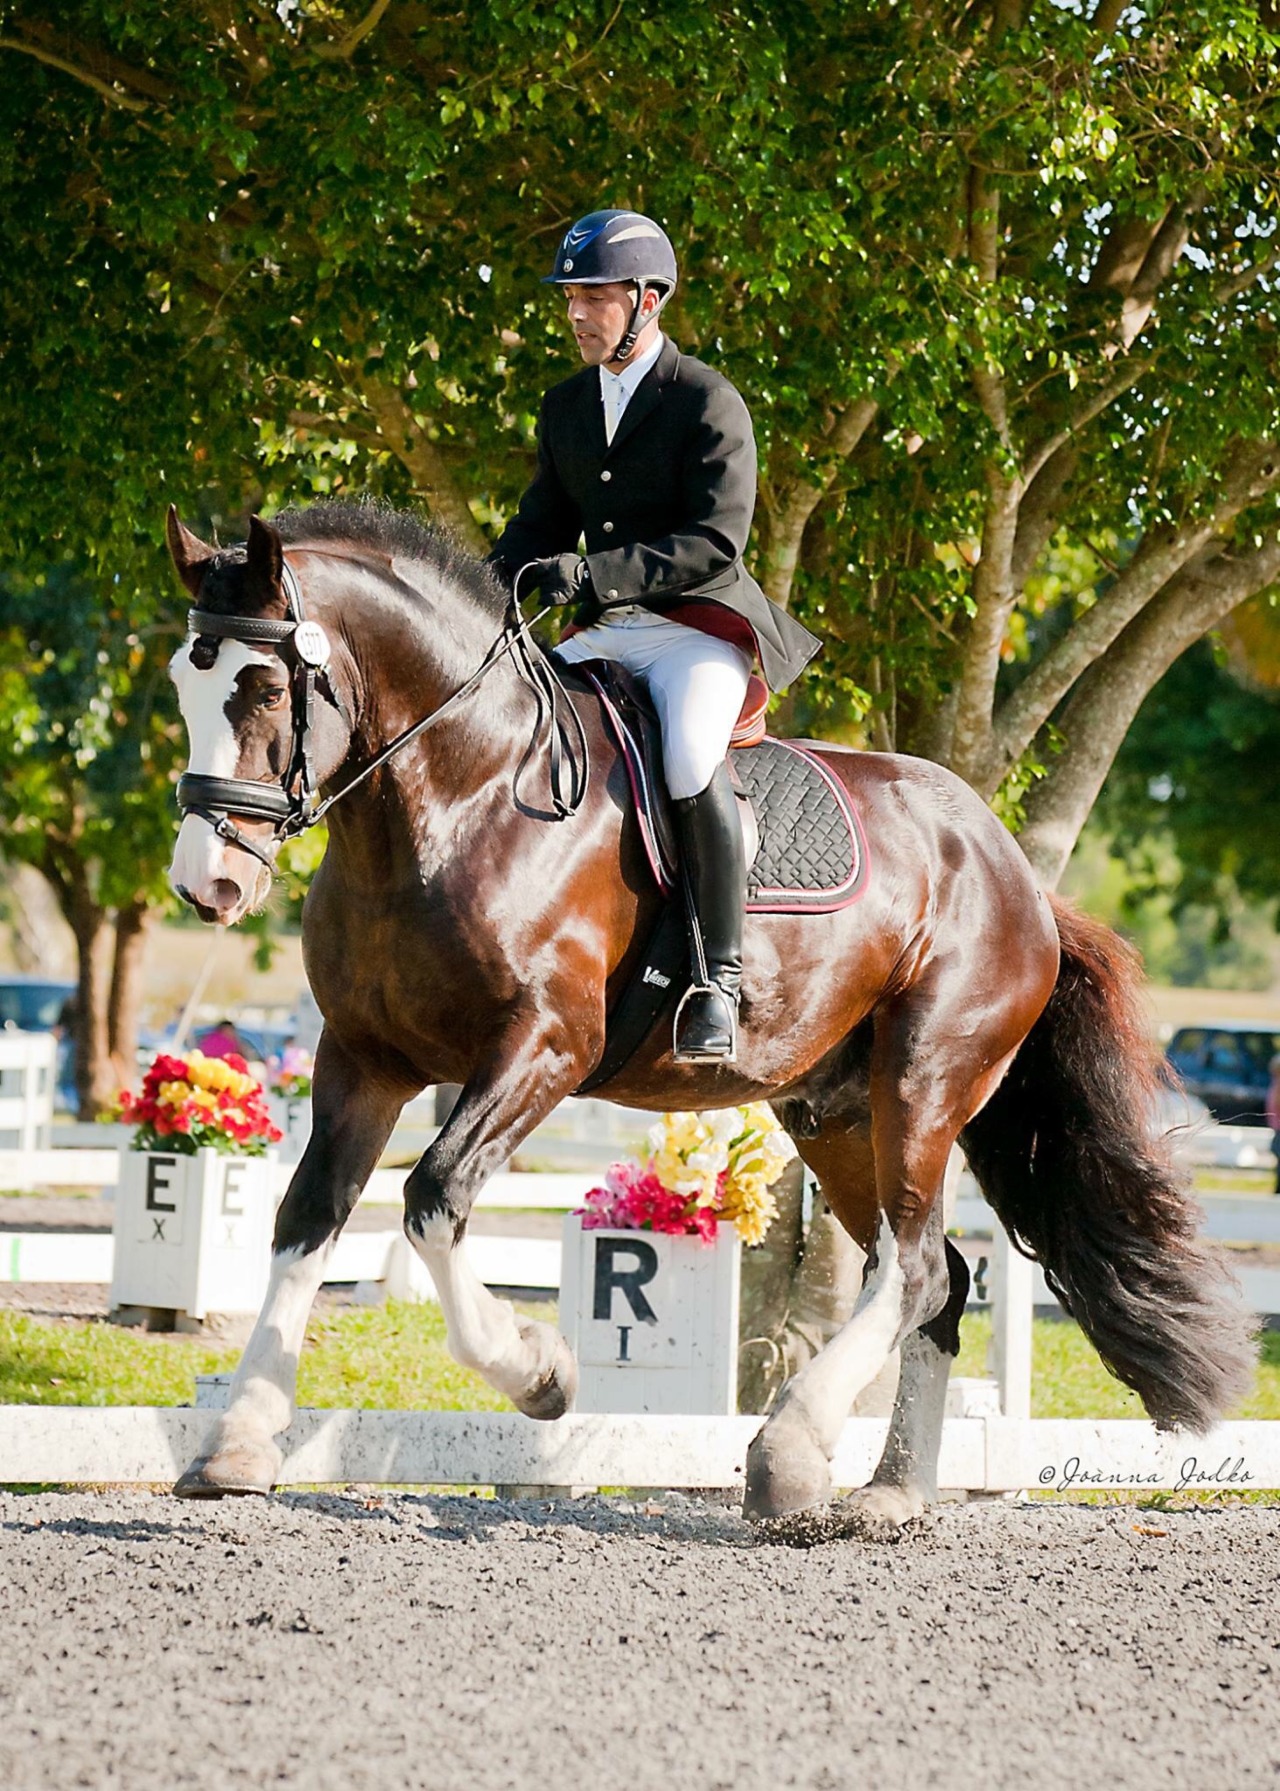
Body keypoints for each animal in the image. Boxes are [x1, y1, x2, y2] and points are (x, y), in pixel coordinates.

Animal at [160, 501, 1253, 1525]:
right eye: (179, 683)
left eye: (264, 690)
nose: (207, 886)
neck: (459, 796)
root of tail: (1013, 868)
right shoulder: (362, 1059)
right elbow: (307, 1220)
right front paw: (239, 1444)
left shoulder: (544, 1047)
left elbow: (433, 1196)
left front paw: (542, 1373)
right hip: (833, 1112)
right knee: (933, 1275)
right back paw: (887, 1492)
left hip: (924, 1082)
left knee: (910, 1267)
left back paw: (788, 1452)